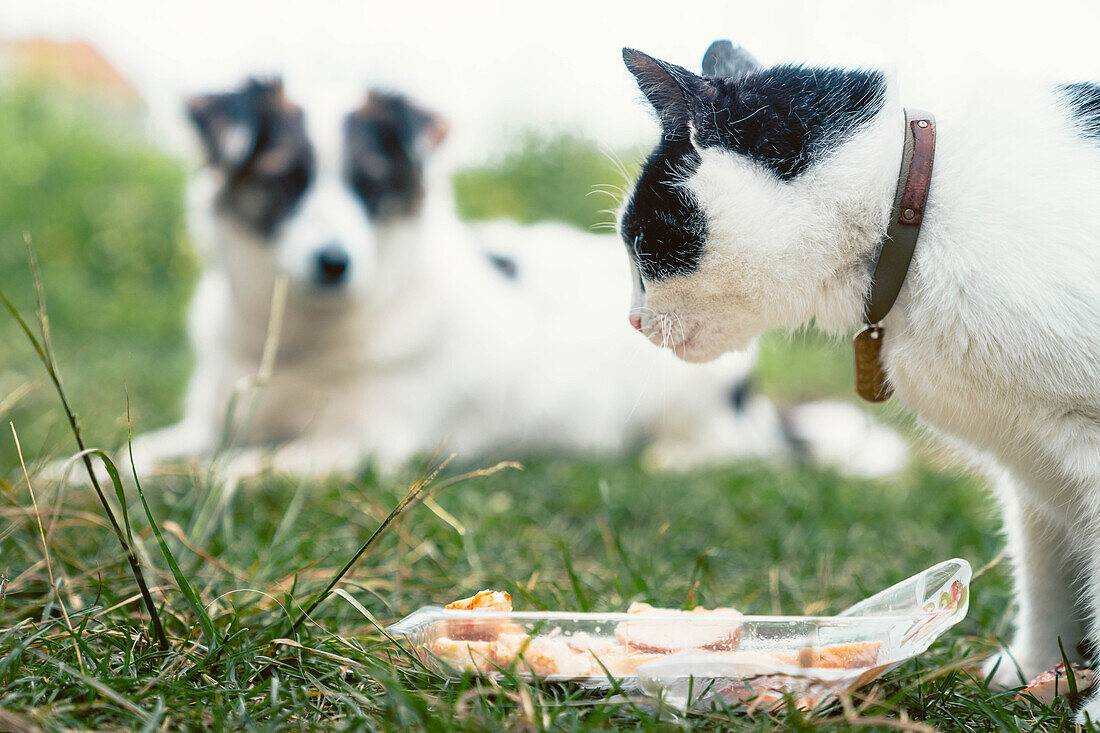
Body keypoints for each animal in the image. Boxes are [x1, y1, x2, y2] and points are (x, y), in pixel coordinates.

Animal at [620, 41, 1100, 717]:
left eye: (641, 239)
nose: (632, 320)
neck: (914, 208)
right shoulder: (1033, 469)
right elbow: (1046, 579)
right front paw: (1031, 669)